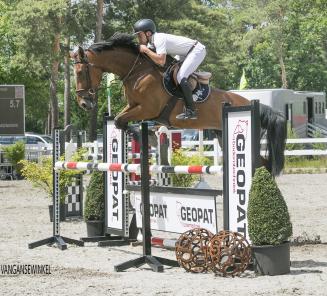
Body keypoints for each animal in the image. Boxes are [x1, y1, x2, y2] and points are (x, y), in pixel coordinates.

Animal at [71, 33, 288, 176]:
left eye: (80, 72)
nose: (84, 103)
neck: (137, 71)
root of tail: (250, 103)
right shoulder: (134, 107)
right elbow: (118, 120)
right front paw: (148, 138)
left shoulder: (147, 109)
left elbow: (120, 120)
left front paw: (150, 138)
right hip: (220, 133)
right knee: (261, 164)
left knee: (260, 164)